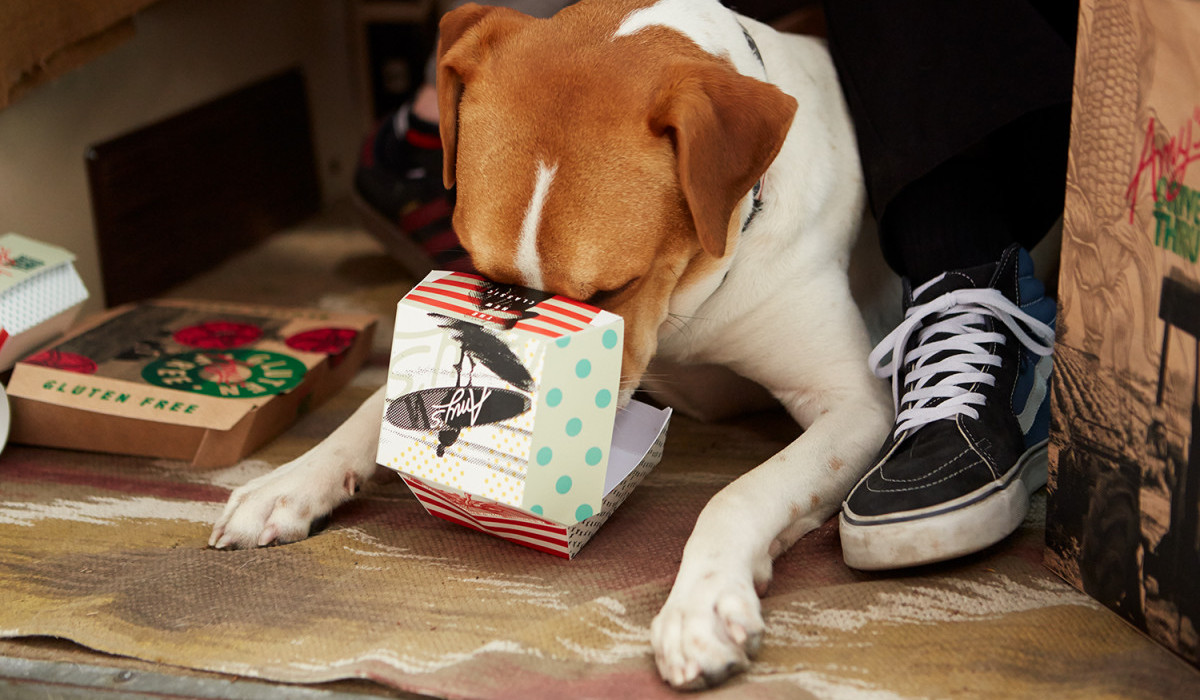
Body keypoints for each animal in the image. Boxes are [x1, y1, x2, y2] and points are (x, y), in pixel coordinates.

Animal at [210, 0, 898, 689]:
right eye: (487, 277)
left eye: (616, 288)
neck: (688, 300)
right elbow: (371, 402)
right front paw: (292, 480)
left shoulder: (858, 405)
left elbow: (742, 491)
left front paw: (701, 601)